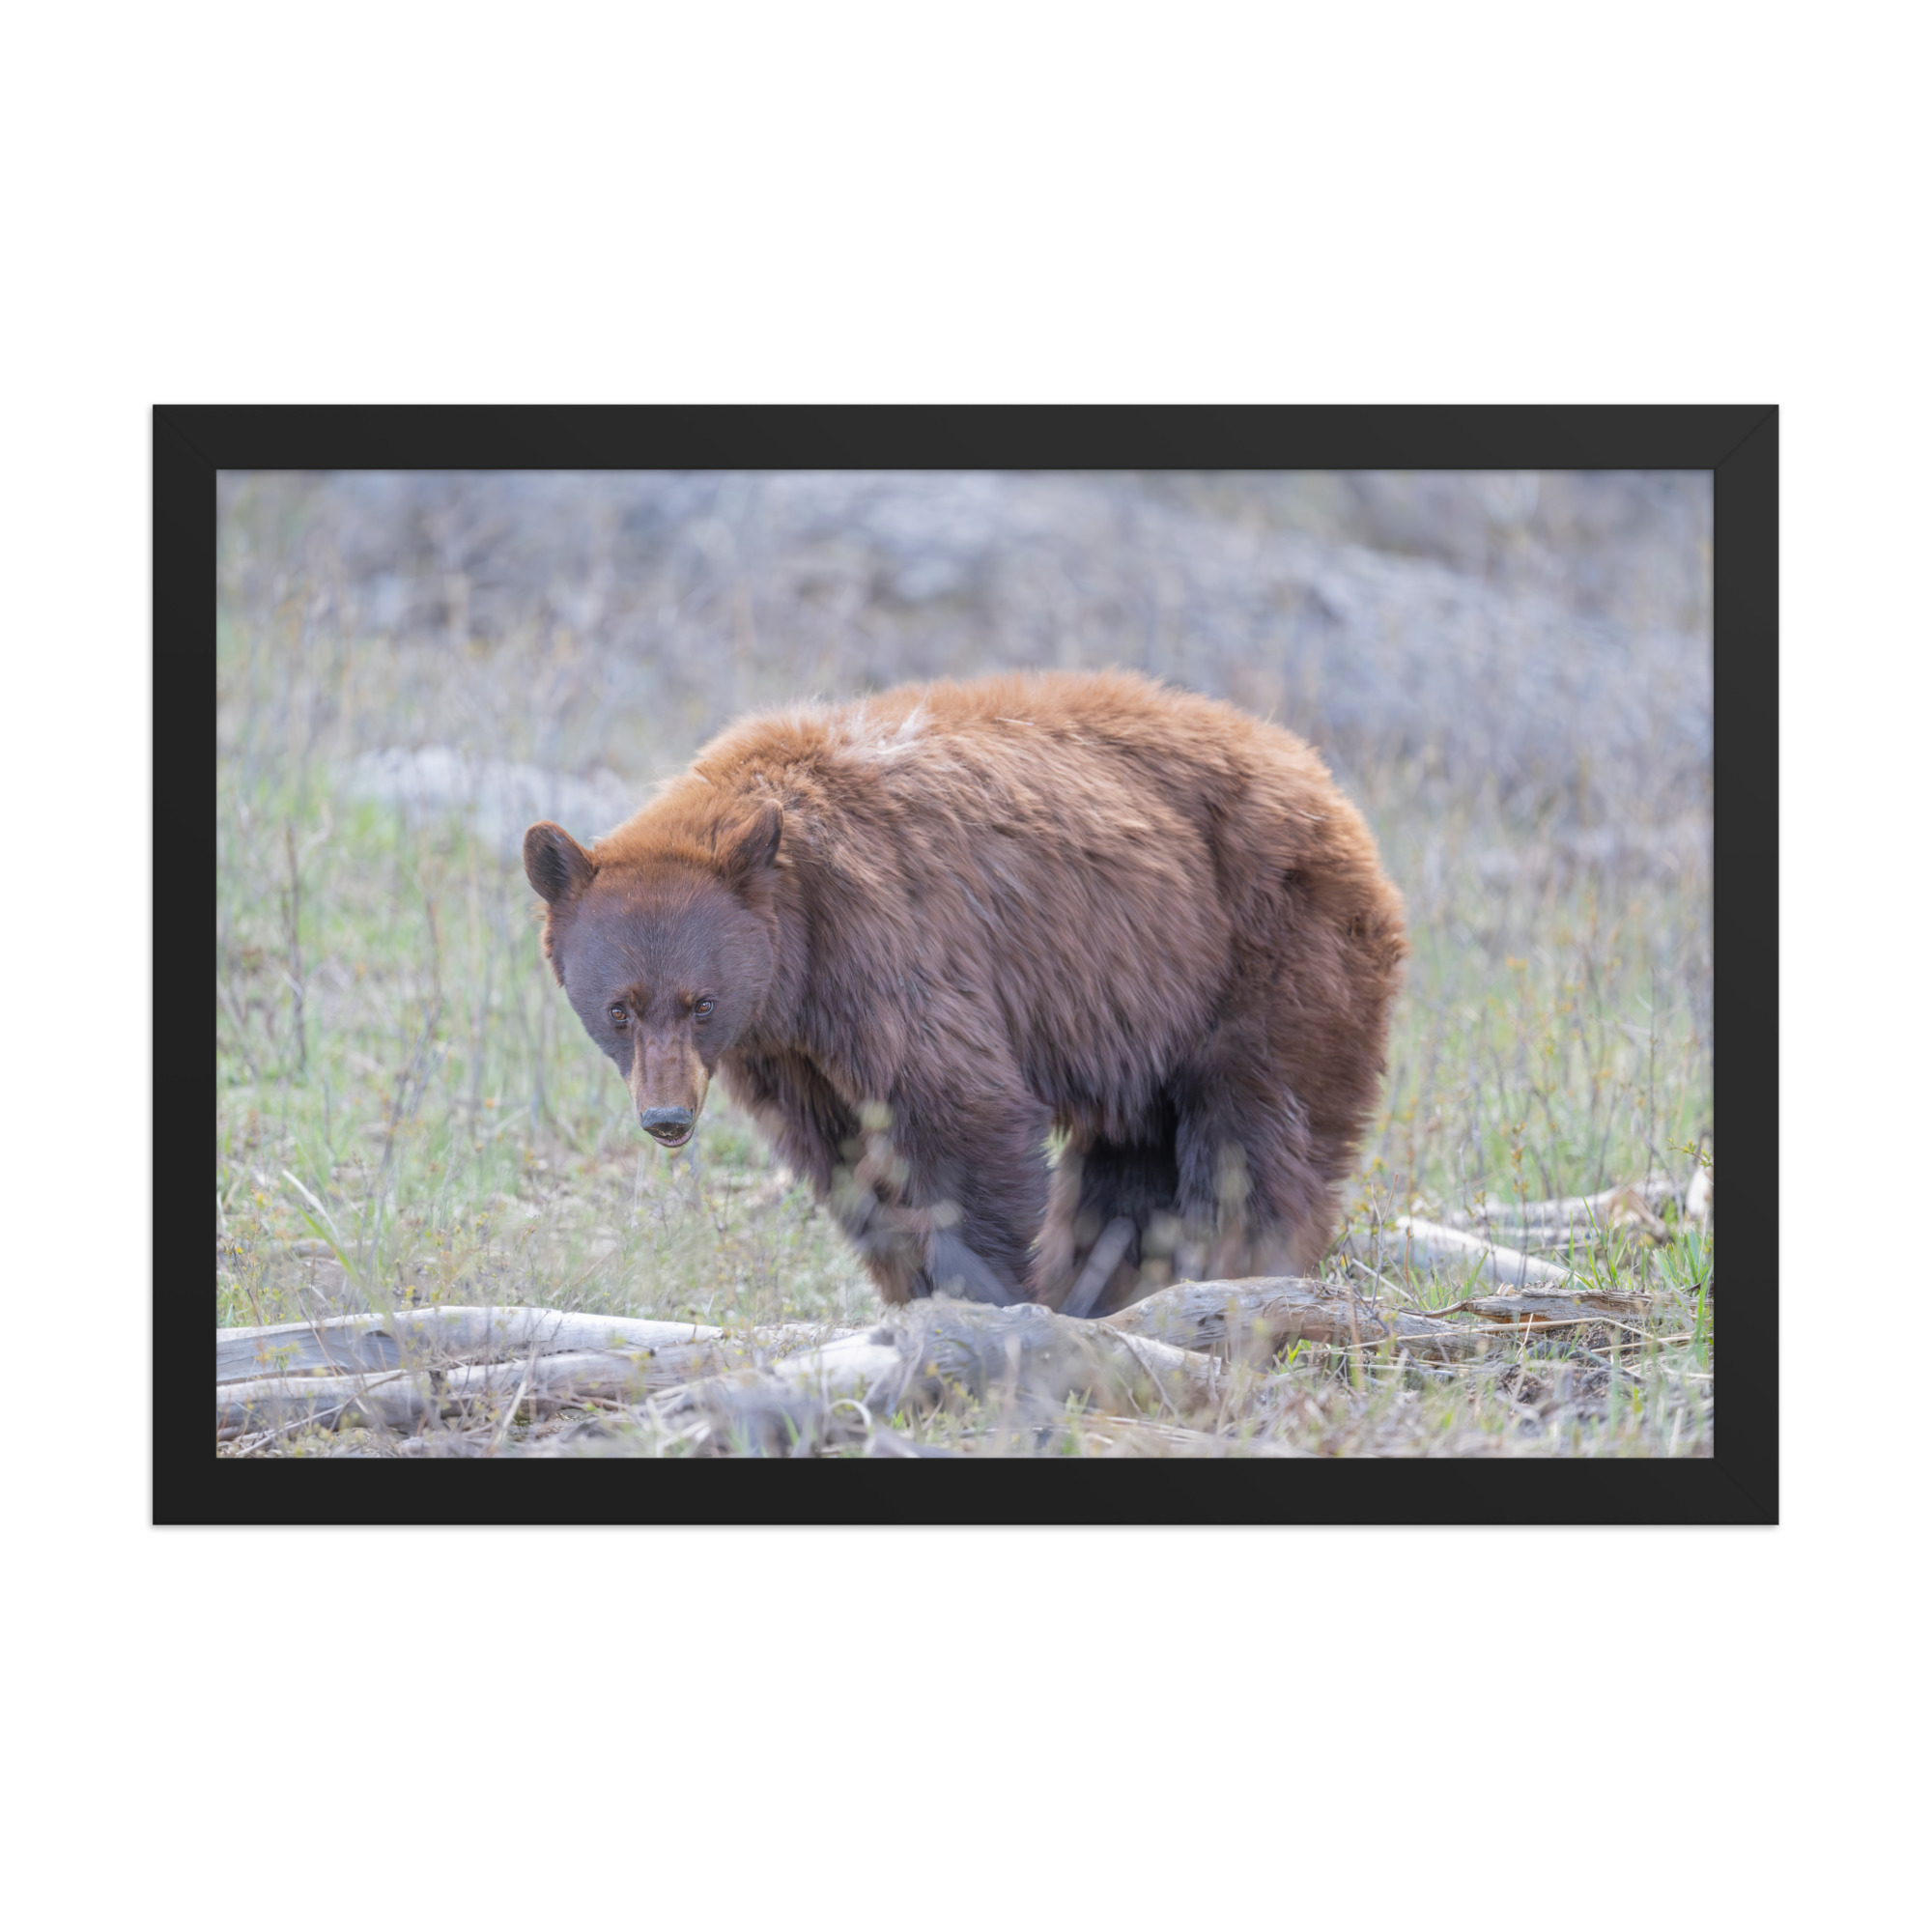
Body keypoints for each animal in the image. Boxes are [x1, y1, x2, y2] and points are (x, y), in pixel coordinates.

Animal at [523, 669, 1406, 1318]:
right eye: (620, 1009)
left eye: (701, 1002)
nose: (667, 1118)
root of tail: (1323, 781)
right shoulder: (789, 1051)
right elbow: (847, 1159)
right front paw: (915, 1289)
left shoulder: (888, 946)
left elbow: (960, 1114)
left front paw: (986, 1294)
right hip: (1148, 1009)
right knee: (1130, 1162)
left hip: (1267, 950)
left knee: (1255, 1133)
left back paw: (1233, 1270)